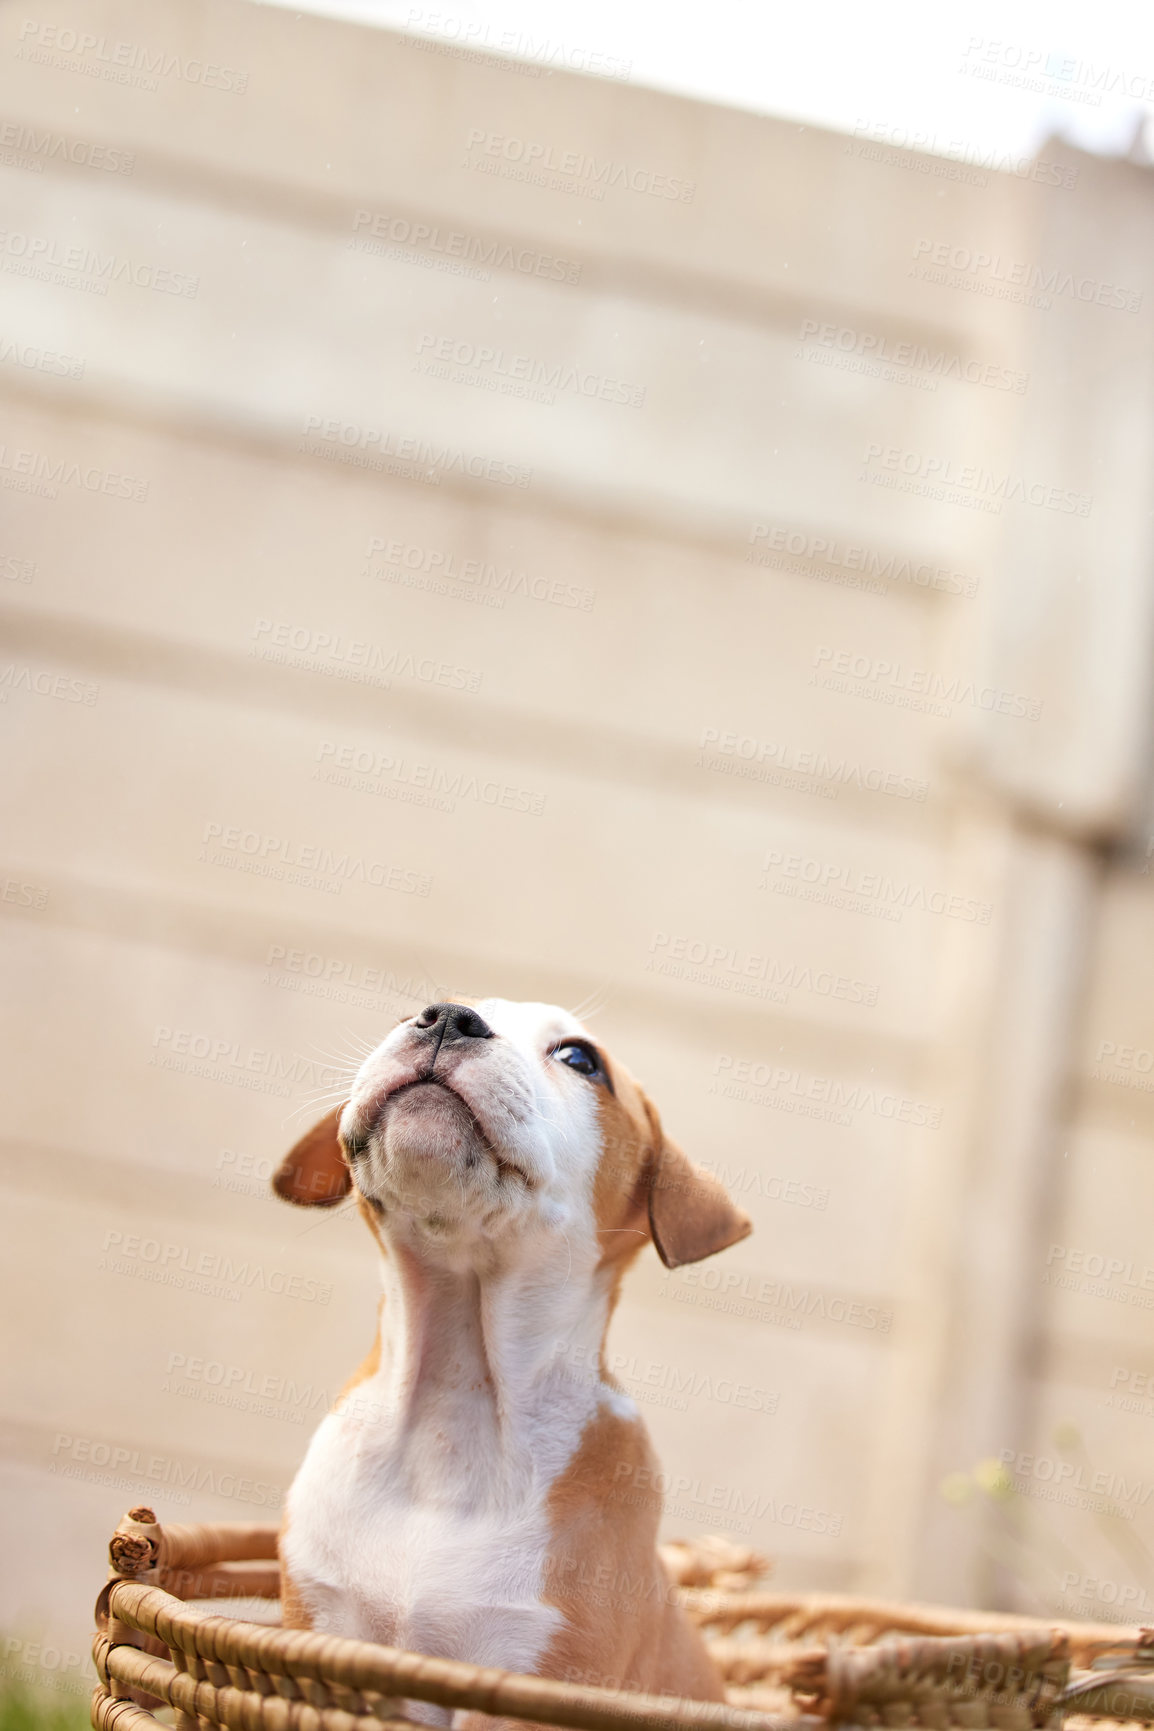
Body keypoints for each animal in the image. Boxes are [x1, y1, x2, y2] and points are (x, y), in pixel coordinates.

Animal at [275, 1003, 754, 1703]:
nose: (448, 1017)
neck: (458, 1395)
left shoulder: (533, 1669)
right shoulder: (317, 1628)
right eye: (406, 1014)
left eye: (581, 1059)